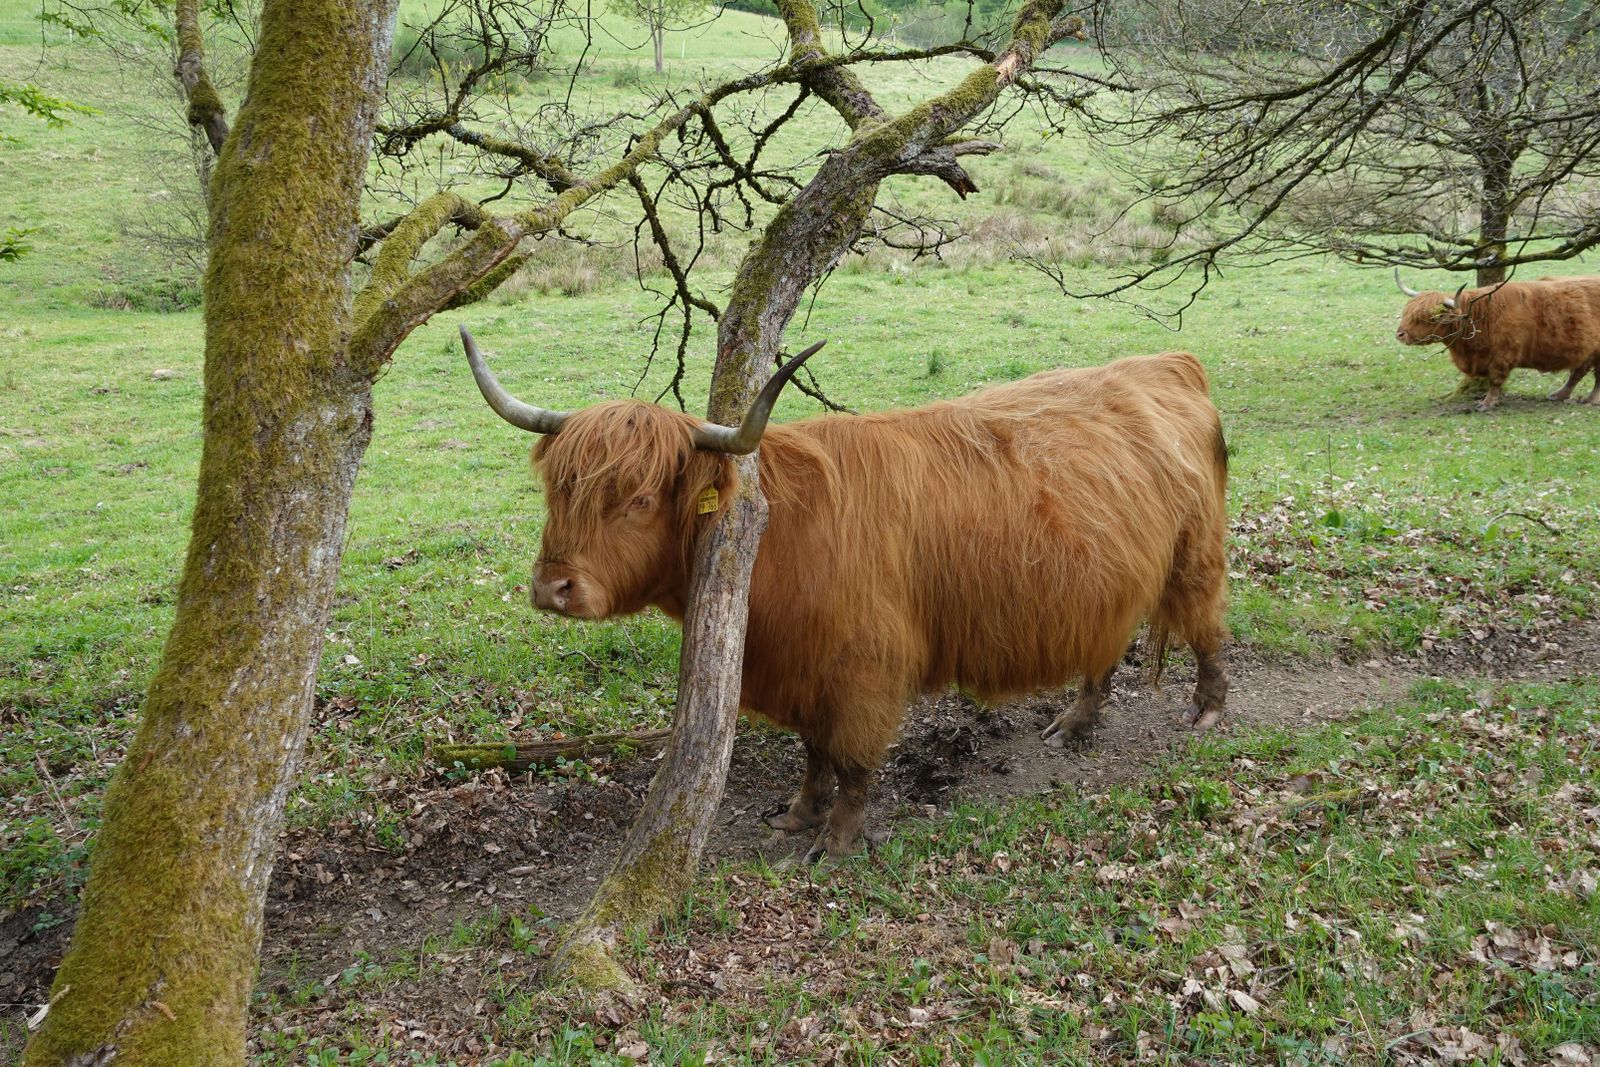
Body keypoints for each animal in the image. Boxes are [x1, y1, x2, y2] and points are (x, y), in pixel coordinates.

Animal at [462, 326, 1231, 860]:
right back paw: (1075, 721)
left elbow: (855, 759)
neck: (779, 538)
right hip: (1108, 583)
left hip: (1194, 557)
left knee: (1208, 628)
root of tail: (1167, 363)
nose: (552, 586)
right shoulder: (804, 668)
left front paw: (834, 840)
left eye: (641, 498)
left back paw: (1207, 711)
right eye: (558, 490)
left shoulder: (865, 669)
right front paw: (800, 813)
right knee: (1105, 648)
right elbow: (814, 752)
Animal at [1394, 269, 1600, 411]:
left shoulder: (1502, 356)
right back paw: (1559, 395)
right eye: (1407, 311)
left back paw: (1590, 400)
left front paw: (1487, 403)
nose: (1400, 334)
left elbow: (1495, 380)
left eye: (1429, 318)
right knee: (1578, 372)